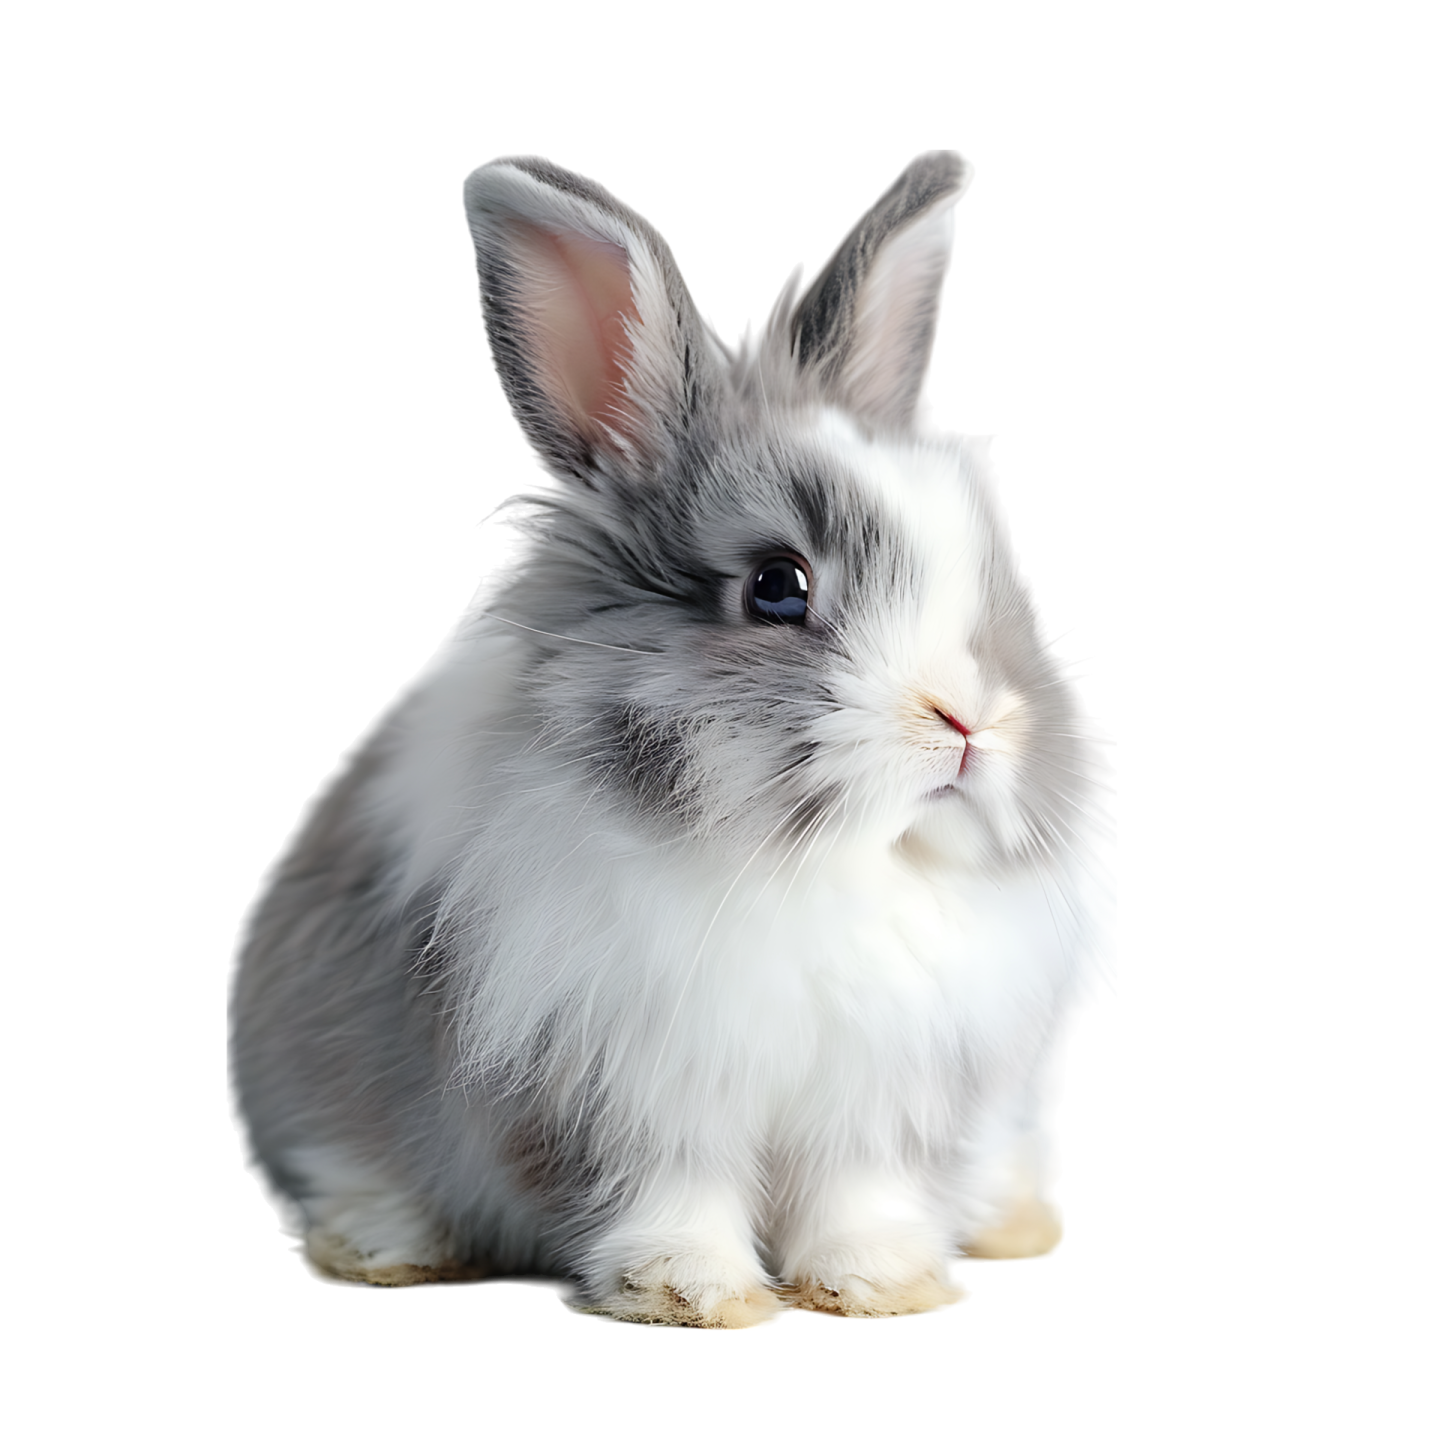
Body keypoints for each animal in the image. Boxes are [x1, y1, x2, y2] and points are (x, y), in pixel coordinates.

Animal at [225, 149, 1117, 1330]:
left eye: (997, 567)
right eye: (777, 587)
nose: (972, 723)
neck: (815, 870)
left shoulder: (881, 1104)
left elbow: (862, 1197)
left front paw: (883, 1287)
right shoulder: (612, 1092)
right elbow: (663, 1195)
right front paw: (695, 1295)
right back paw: (386, 1251)